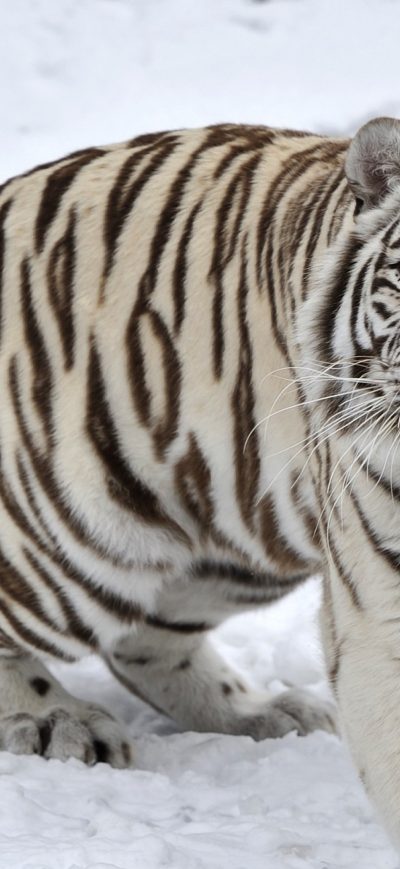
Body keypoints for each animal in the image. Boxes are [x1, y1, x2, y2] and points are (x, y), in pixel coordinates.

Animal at [1, 114, 400, 845]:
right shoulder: (378, 602)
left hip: (238, 538)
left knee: (148, 638)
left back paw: (258, 712)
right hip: (71, 533)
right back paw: (55, 720)